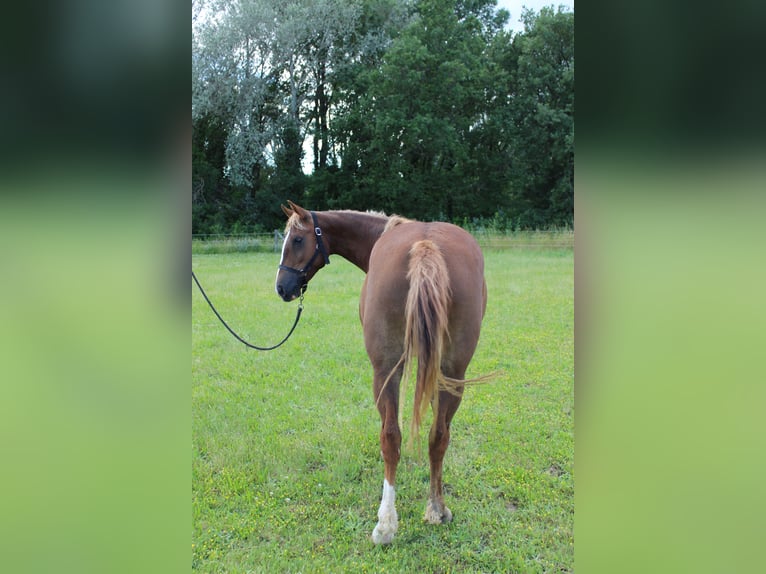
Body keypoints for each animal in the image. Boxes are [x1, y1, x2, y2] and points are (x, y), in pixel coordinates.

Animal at [280, 201, 488, 544]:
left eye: (297, 240)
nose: (282, 287)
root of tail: (425, 245)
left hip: (385, 371)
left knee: (391, 437)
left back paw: (386, 525)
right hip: (453, 371)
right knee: (438, 435)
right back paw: (437, 509)